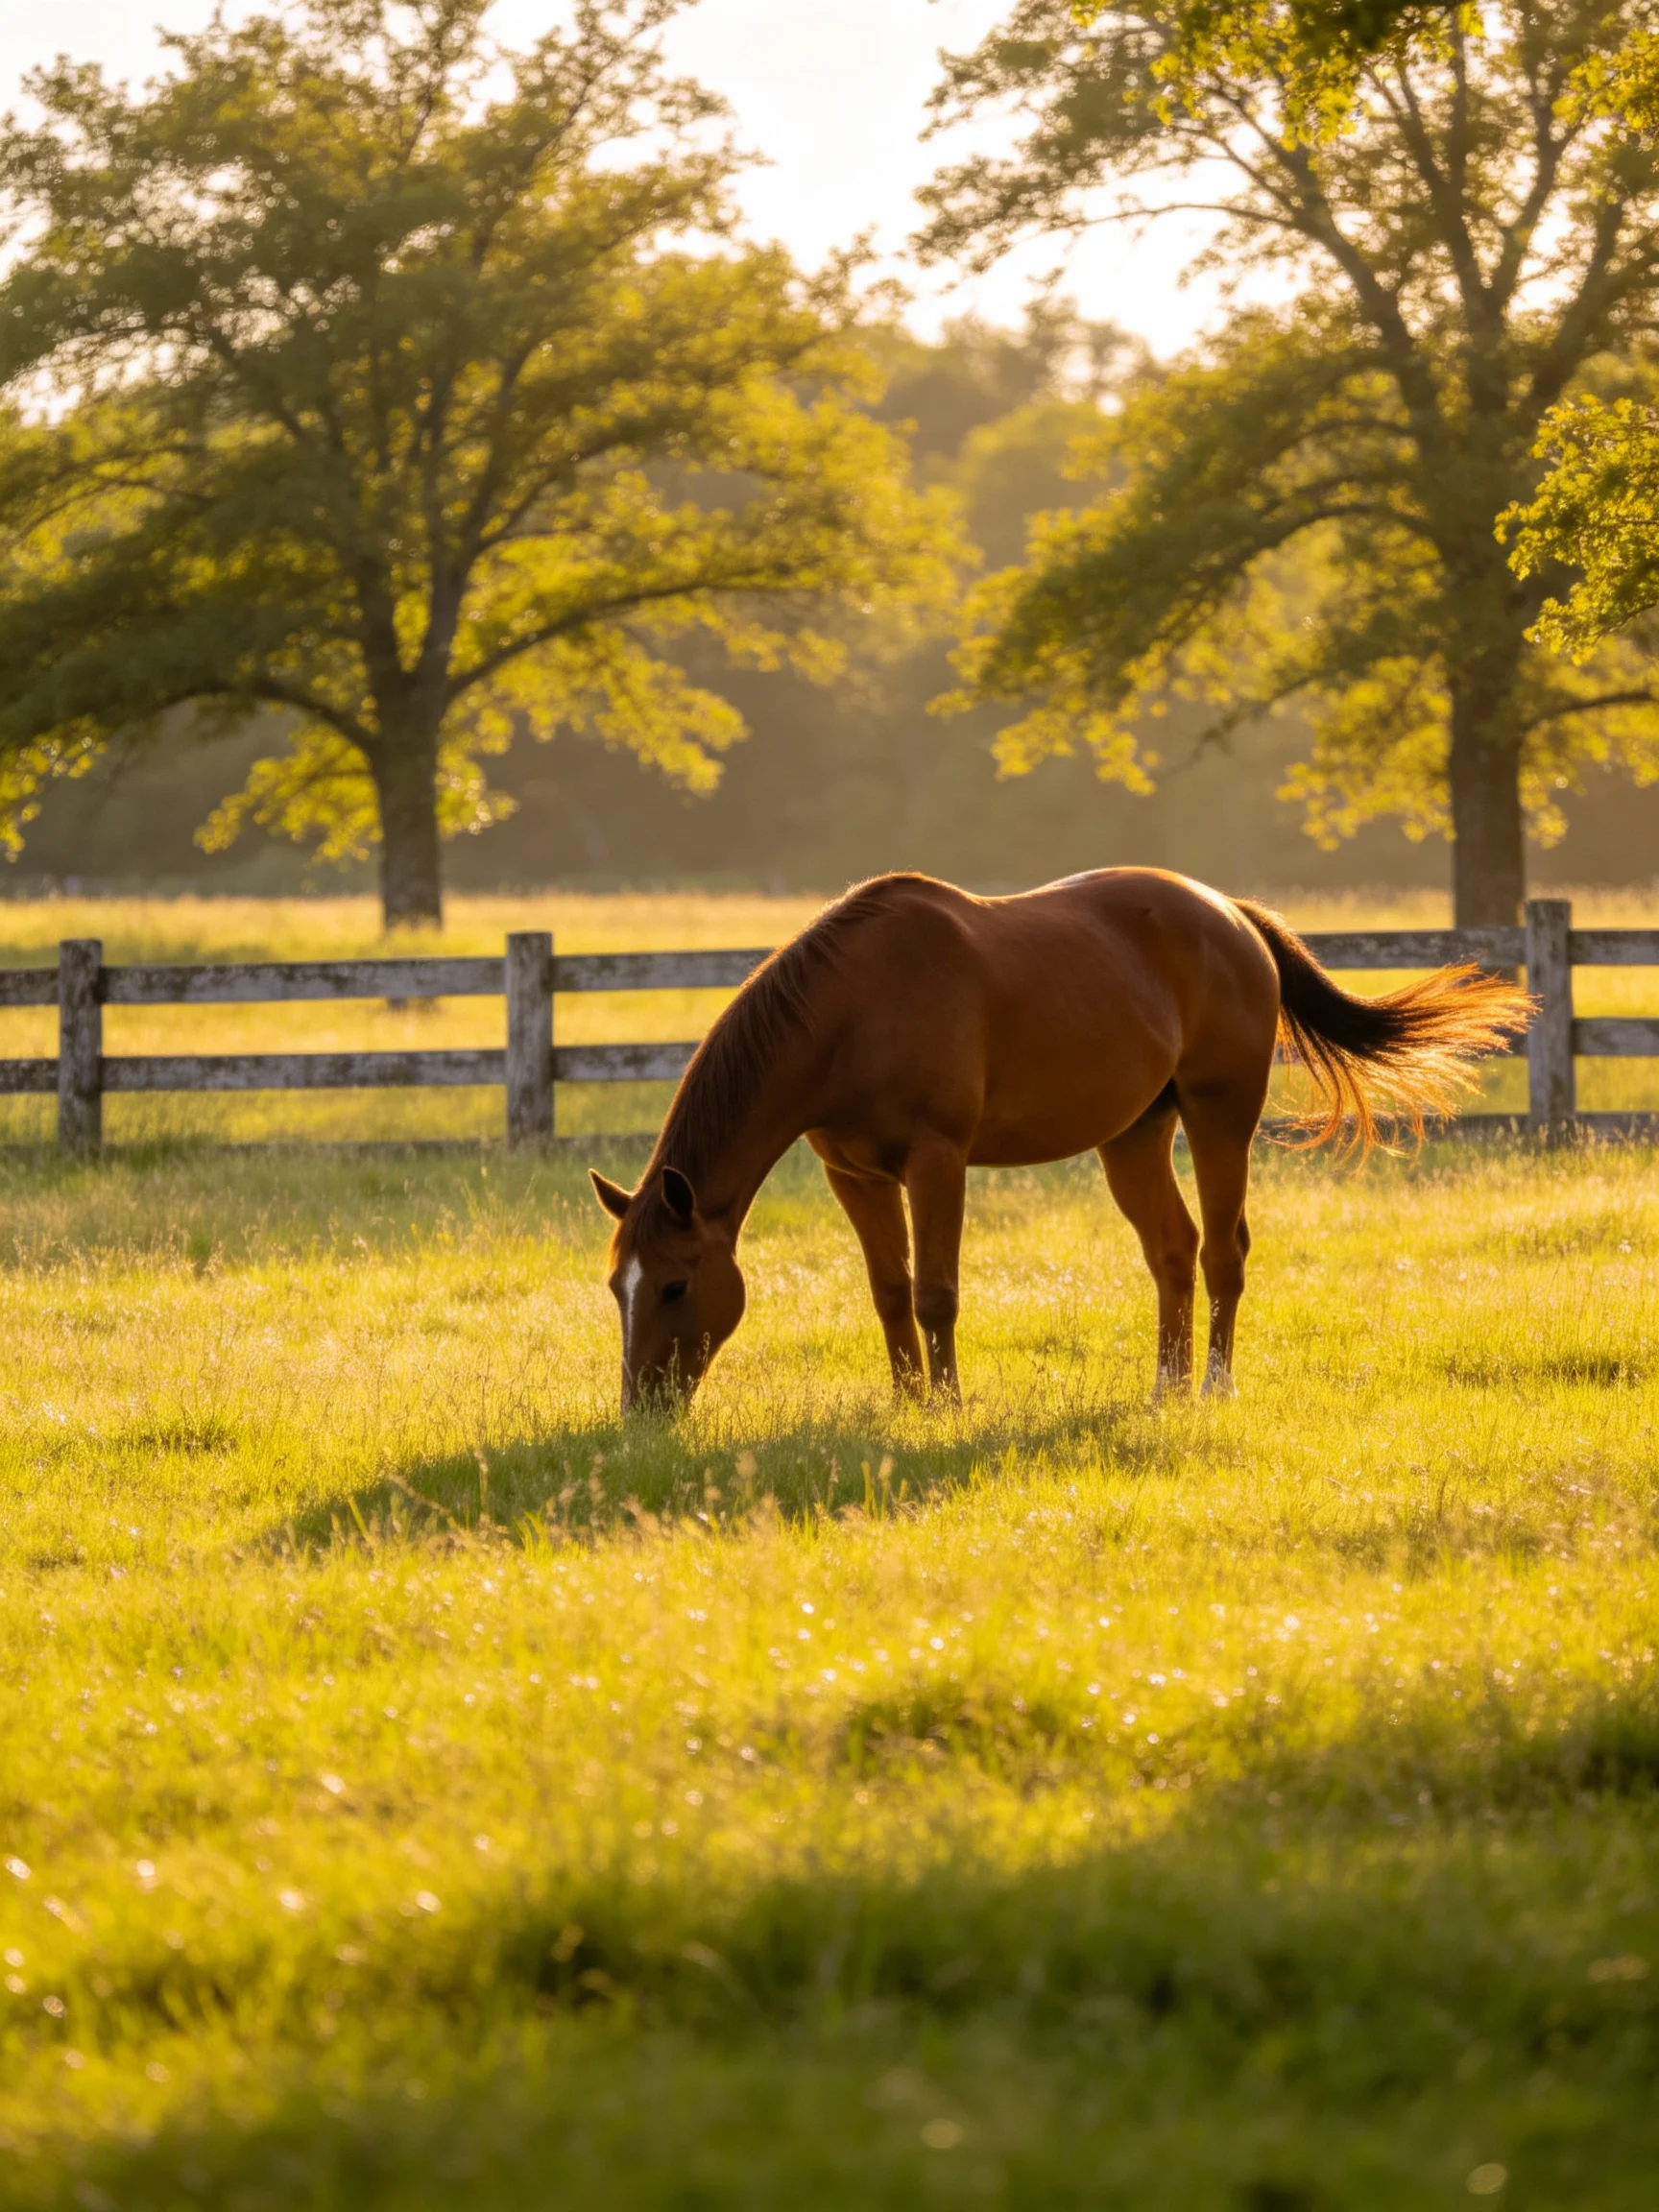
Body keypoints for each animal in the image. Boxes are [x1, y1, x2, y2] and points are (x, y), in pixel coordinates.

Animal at [590, 868, 1529, 1413]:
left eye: (674, 1286)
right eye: (615, 1287)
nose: (642, 1411)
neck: (852, 1011)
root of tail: (1231, 914)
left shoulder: (937, 1163)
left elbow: (935, 1293)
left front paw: (946, 1407)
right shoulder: (852, 1175)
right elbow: (890, 1294)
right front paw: (907, 1404)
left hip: (1220, 1118)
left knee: (1222, 1252)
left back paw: (1213, 1387)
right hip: (1135, 1136)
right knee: (1172, 1251)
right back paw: (1165, 1386)